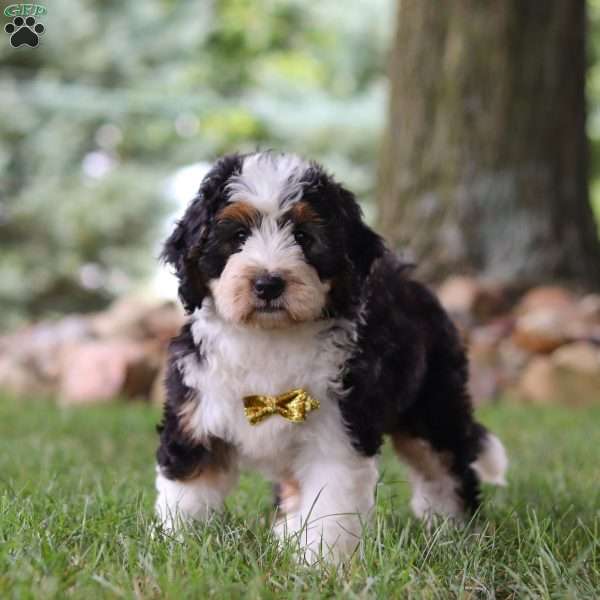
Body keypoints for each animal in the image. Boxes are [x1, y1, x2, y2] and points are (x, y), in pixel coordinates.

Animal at [154, 150, 506, 564]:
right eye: (237, 237)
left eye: (304, 237)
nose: (268, 284)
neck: (269, 337)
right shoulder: (195, 415)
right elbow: (188, 492)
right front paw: (179, 549)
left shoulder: (336, 435)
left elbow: (328, 507)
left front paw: (319, 563)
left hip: (432, 406)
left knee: (445, 467)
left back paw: (452, 531)